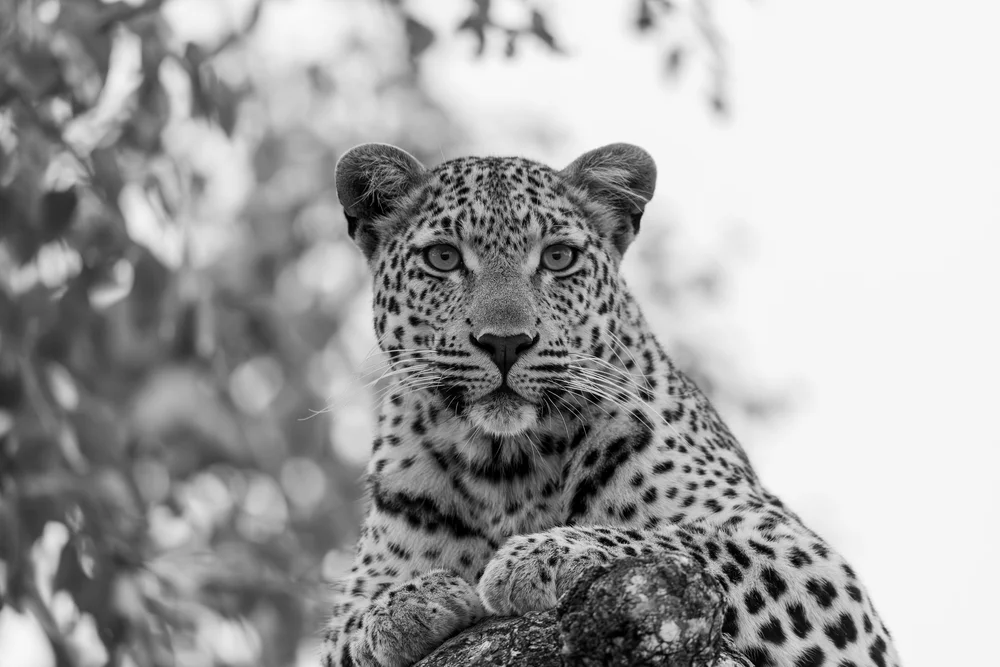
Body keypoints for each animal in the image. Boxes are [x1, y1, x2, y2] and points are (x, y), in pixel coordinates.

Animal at [320, 142, 901, 667]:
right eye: (442, 258)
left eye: (559, 257)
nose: (505, 342)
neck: (505, 466)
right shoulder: (351, 601)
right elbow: (347, 624)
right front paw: (402, 607)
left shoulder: (807, 561)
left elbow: (680, 542)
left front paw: (543, 555)